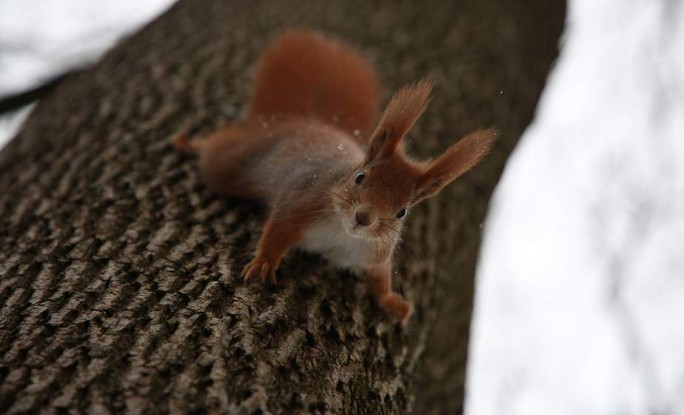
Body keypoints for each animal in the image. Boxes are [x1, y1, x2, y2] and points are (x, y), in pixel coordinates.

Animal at [170, 30, 492, 322]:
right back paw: (189, 143)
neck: (343, 232)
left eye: (402, 211)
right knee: (216, 150)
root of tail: (303, 121)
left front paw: (393, 303)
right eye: (360, 177)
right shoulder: (300, 203)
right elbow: (276, 233)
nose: (364, 217)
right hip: (230, 167)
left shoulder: (376, 254)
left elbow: (380, 280)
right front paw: (263, 262)